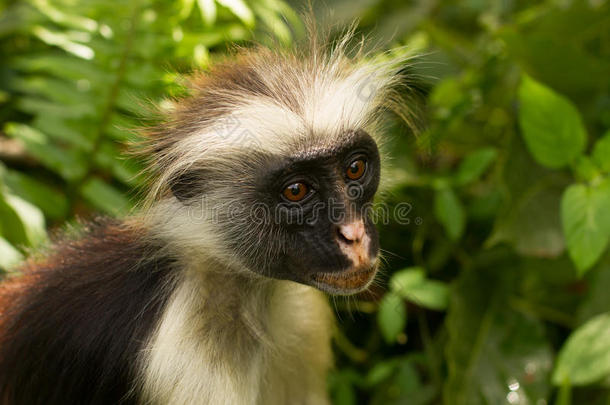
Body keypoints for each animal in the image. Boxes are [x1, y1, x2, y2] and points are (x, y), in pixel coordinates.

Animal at [0, 26, 414, 402]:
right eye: (296, 191)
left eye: (355, 169)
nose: (353, 234)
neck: (245, 294)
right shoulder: (189, 362)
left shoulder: (303, 316)